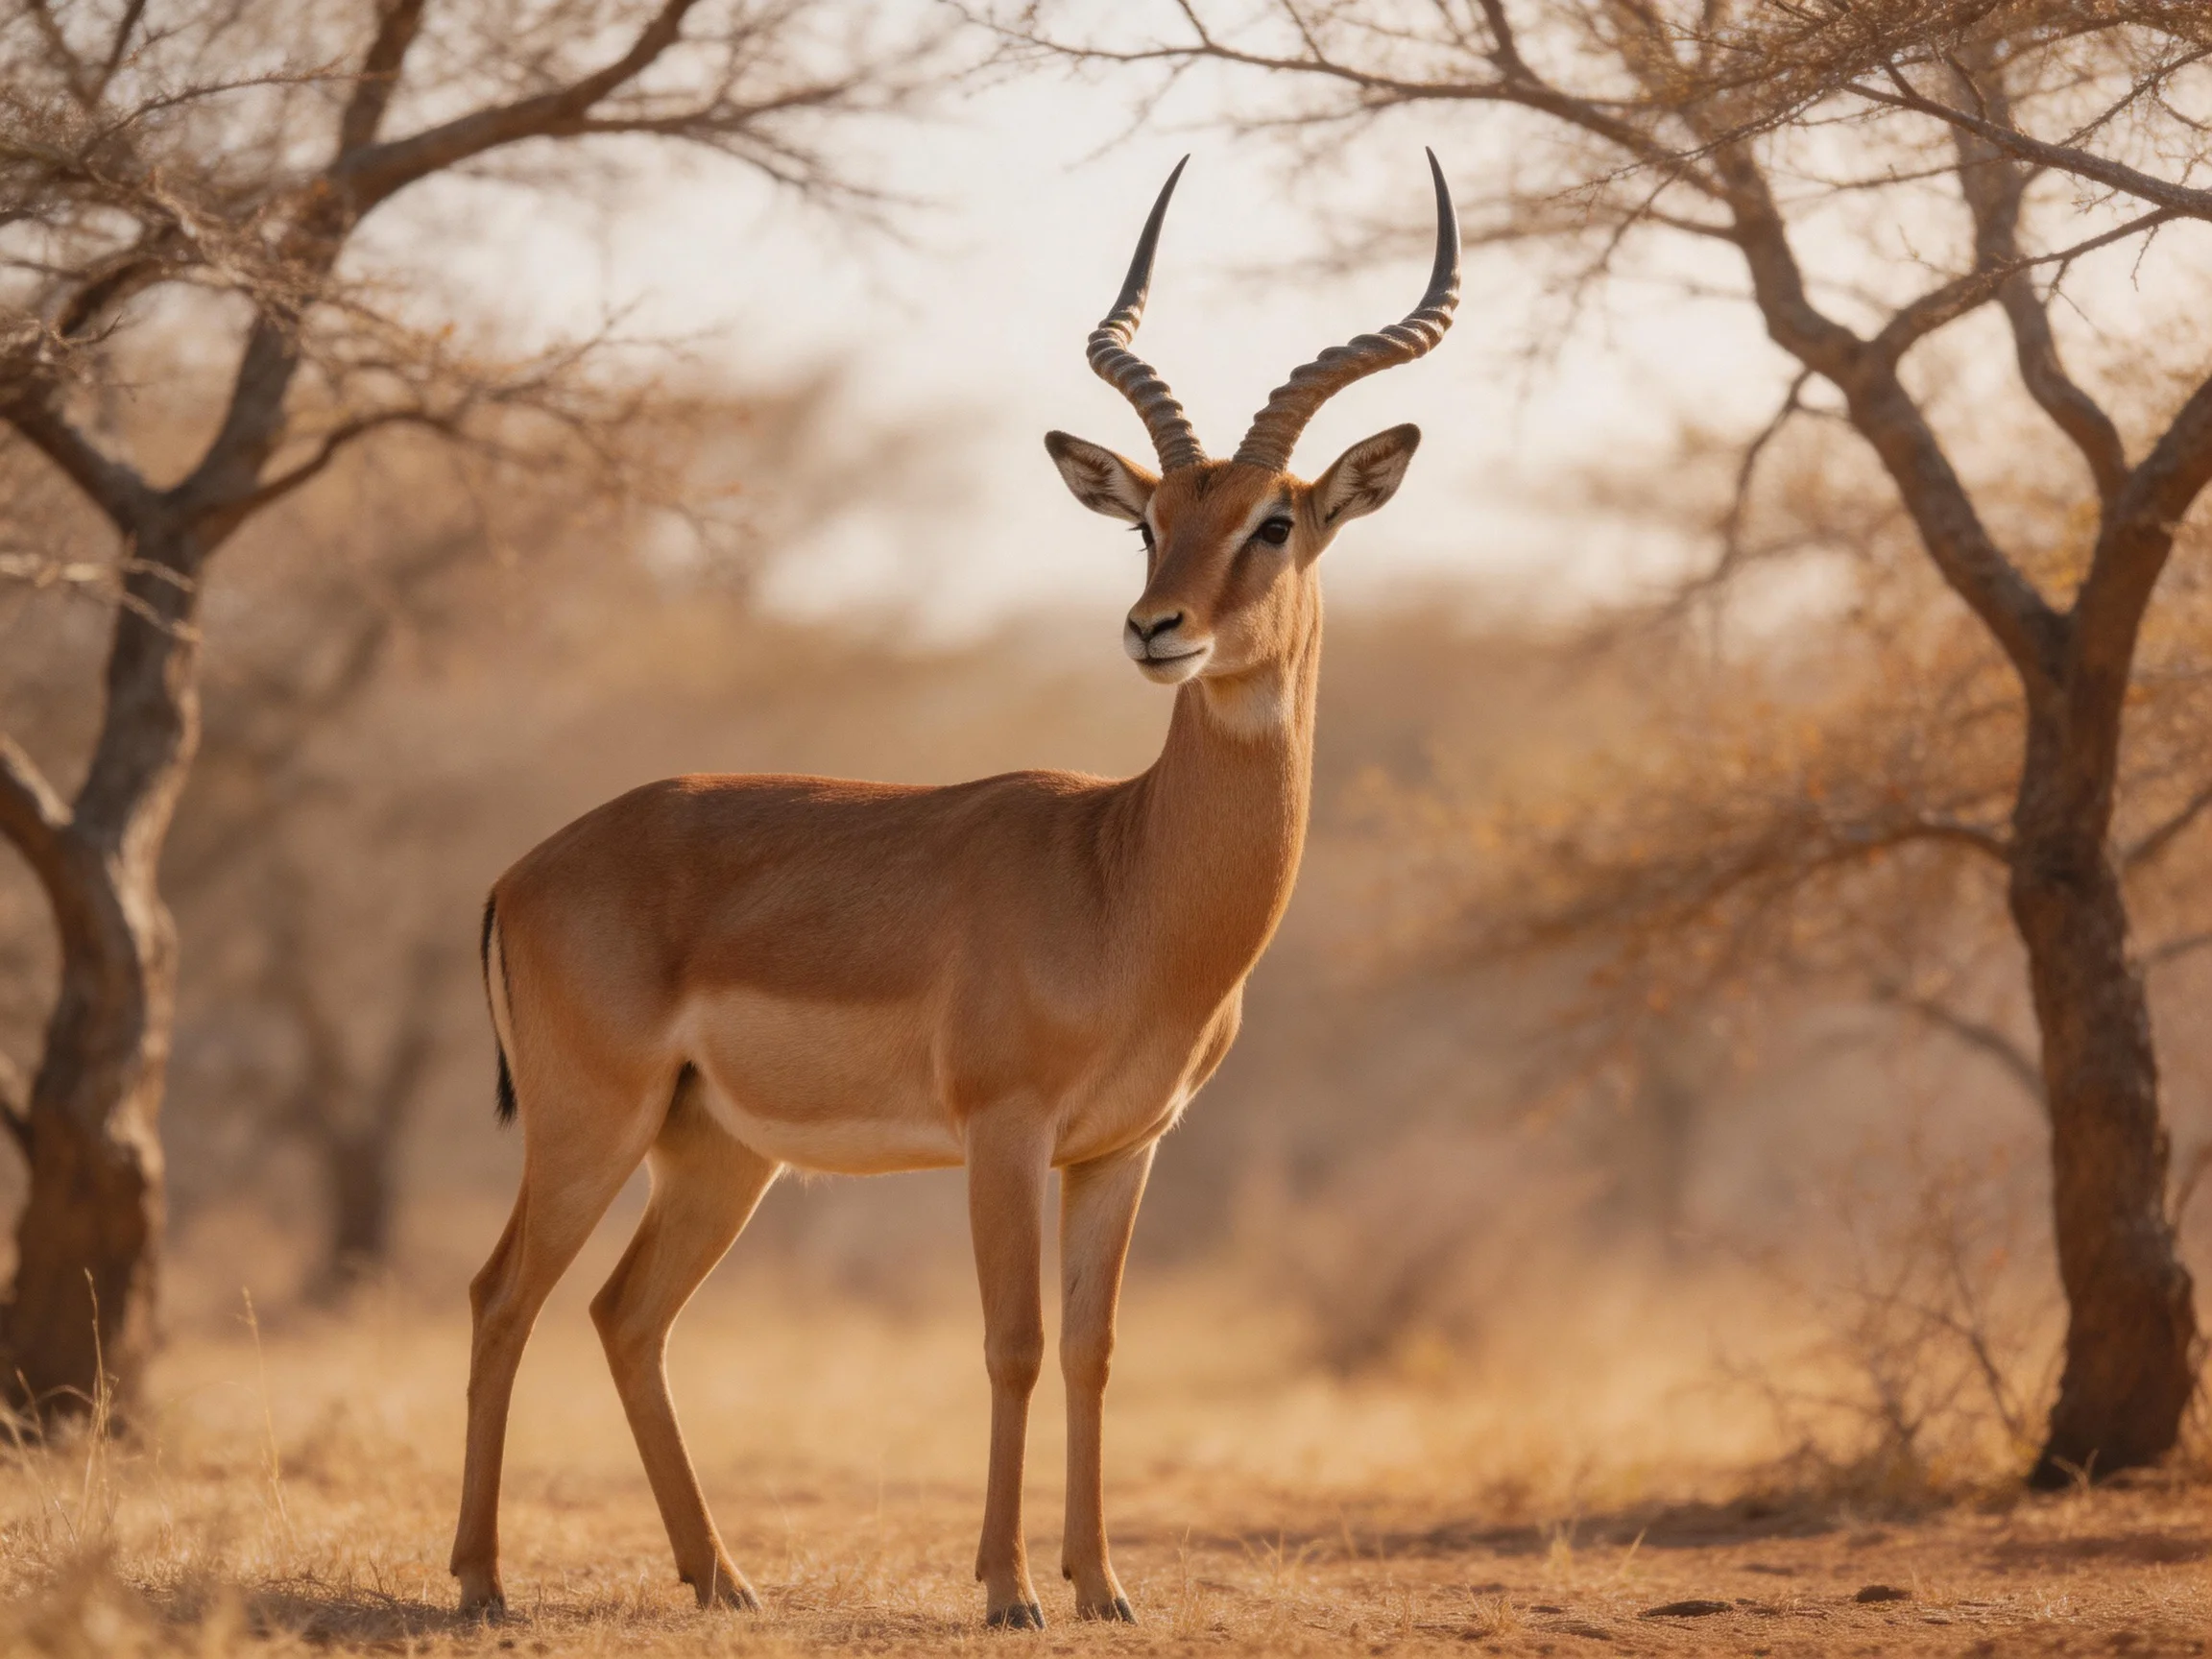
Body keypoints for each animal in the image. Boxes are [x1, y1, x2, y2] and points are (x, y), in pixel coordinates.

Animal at [450, 152, 1460, 1628]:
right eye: (1150, 522)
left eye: (1276, 521)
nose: (1156, 630)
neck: (1126, 883)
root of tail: (524, 871)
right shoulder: (1004, 1133)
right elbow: (1012, 1342)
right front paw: (1008, 1589)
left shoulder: (1123, 1147)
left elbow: (1096, 1348)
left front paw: (1104, 1588)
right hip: (594, 1126)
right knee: (501, 1298)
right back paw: (480, 1584)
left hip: (719, 1151)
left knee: (624, 1316)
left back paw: (724, 1579)